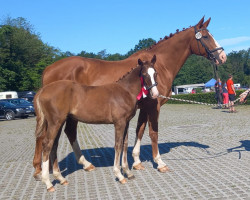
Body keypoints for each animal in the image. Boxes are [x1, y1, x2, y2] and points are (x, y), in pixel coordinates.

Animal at [32, 16, 227, 178]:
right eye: (206, 36)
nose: (223, 56)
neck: (160, 65)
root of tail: (48, 68)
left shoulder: (142, 107)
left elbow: (139, 130)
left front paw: (136, 161)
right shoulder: (154, 106)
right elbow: (153, 132)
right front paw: (159, 162)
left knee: (67, 133)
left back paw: (83, 164)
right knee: (46, 137)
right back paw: (41, 170)